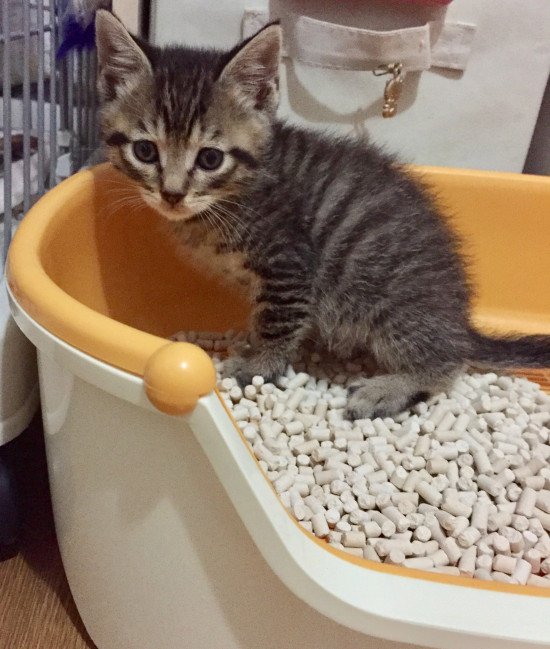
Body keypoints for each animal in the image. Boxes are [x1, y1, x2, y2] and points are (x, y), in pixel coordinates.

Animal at [95, 10, 550, 420]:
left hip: (387, 299)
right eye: (145, 151)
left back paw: (390, 387)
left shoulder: (290, 263)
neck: (232, 195)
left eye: (210, 158)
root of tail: (458, 315)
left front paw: (259, 364)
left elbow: (279, 321)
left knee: (447, 360)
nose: (172, 194)